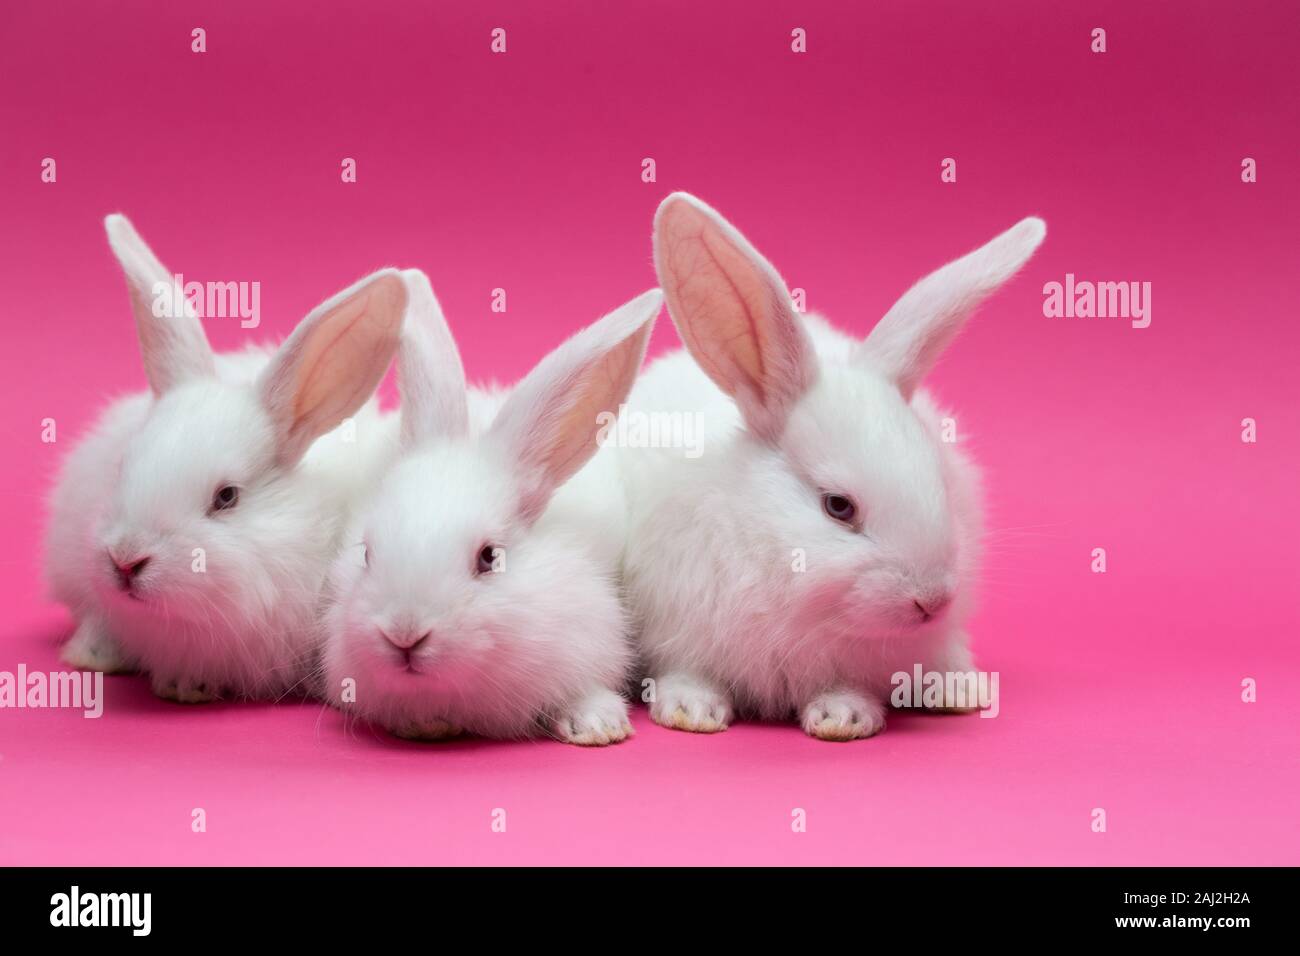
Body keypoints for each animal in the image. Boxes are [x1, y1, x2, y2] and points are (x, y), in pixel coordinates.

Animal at [621, 192, 1045, 738]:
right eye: (838, 506)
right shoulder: (681, 629)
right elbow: (689, 673)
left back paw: (961, 688)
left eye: (941, 486)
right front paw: (690, 711)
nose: (931, 601)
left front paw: (844, 717)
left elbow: (843, 687)